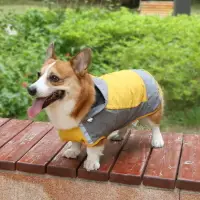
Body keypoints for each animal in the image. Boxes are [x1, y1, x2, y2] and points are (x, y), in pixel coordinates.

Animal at [27, 43, 164, 171]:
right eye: (38, 74)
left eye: (54, 78)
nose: (30, 89)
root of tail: (145, 72)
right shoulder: (73, 129)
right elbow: (75, 142)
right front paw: (73, 151)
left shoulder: (96, 133)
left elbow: (92, 150)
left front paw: (91, 163)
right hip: (127, 113)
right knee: (125, 124)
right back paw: (119, 135)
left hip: (151, 112)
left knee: (155, 126)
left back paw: (157, 140)